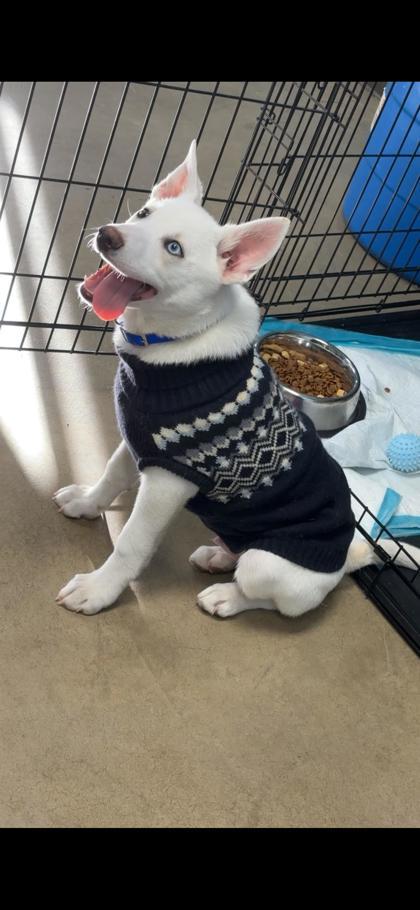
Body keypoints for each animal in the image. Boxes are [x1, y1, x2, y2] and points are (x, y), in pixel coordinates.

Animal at [54, 139, 418, 620]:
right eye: (144, 213)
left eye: (173, 248)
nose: (109, 235)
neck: (176, 342)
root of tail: (345, 561)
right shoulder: (141, 443)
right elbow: (113, 474)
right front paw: (86, 502)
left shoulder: (169, 480)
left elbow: (132, 542)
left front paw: (99, 589)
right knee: (236, 555)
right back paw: (218, 554)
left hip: (270, 565)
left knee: (269, 597)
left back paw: (225, 596)